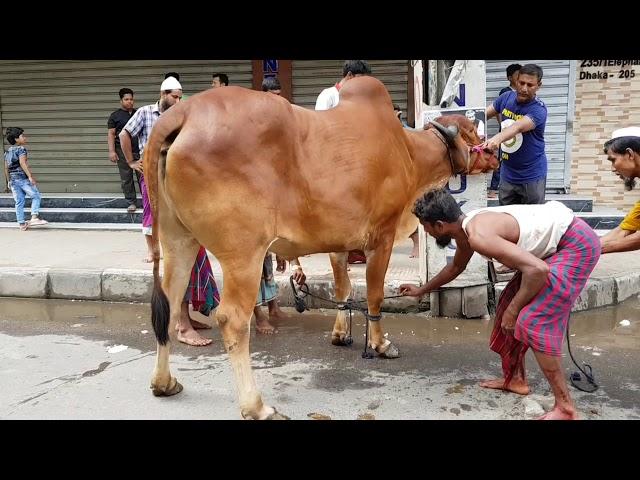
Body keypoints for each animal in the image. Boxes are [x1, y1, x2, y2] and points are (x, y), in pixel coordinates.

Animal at [145, 77, 500, 418]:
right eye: (473, 133)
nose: (495, 153)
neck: (409, 153)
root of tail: (184, 112)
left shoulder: (338, 242)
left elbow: (343, 289)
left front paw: (341, 335)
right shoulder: (381, 237)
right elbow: (374, 295)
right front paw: (381, 344)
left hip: (179, 240)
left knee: (170, 304)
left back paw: (165, 383)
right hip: (244, 254)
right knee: (231, 319)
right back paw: (257, 407)